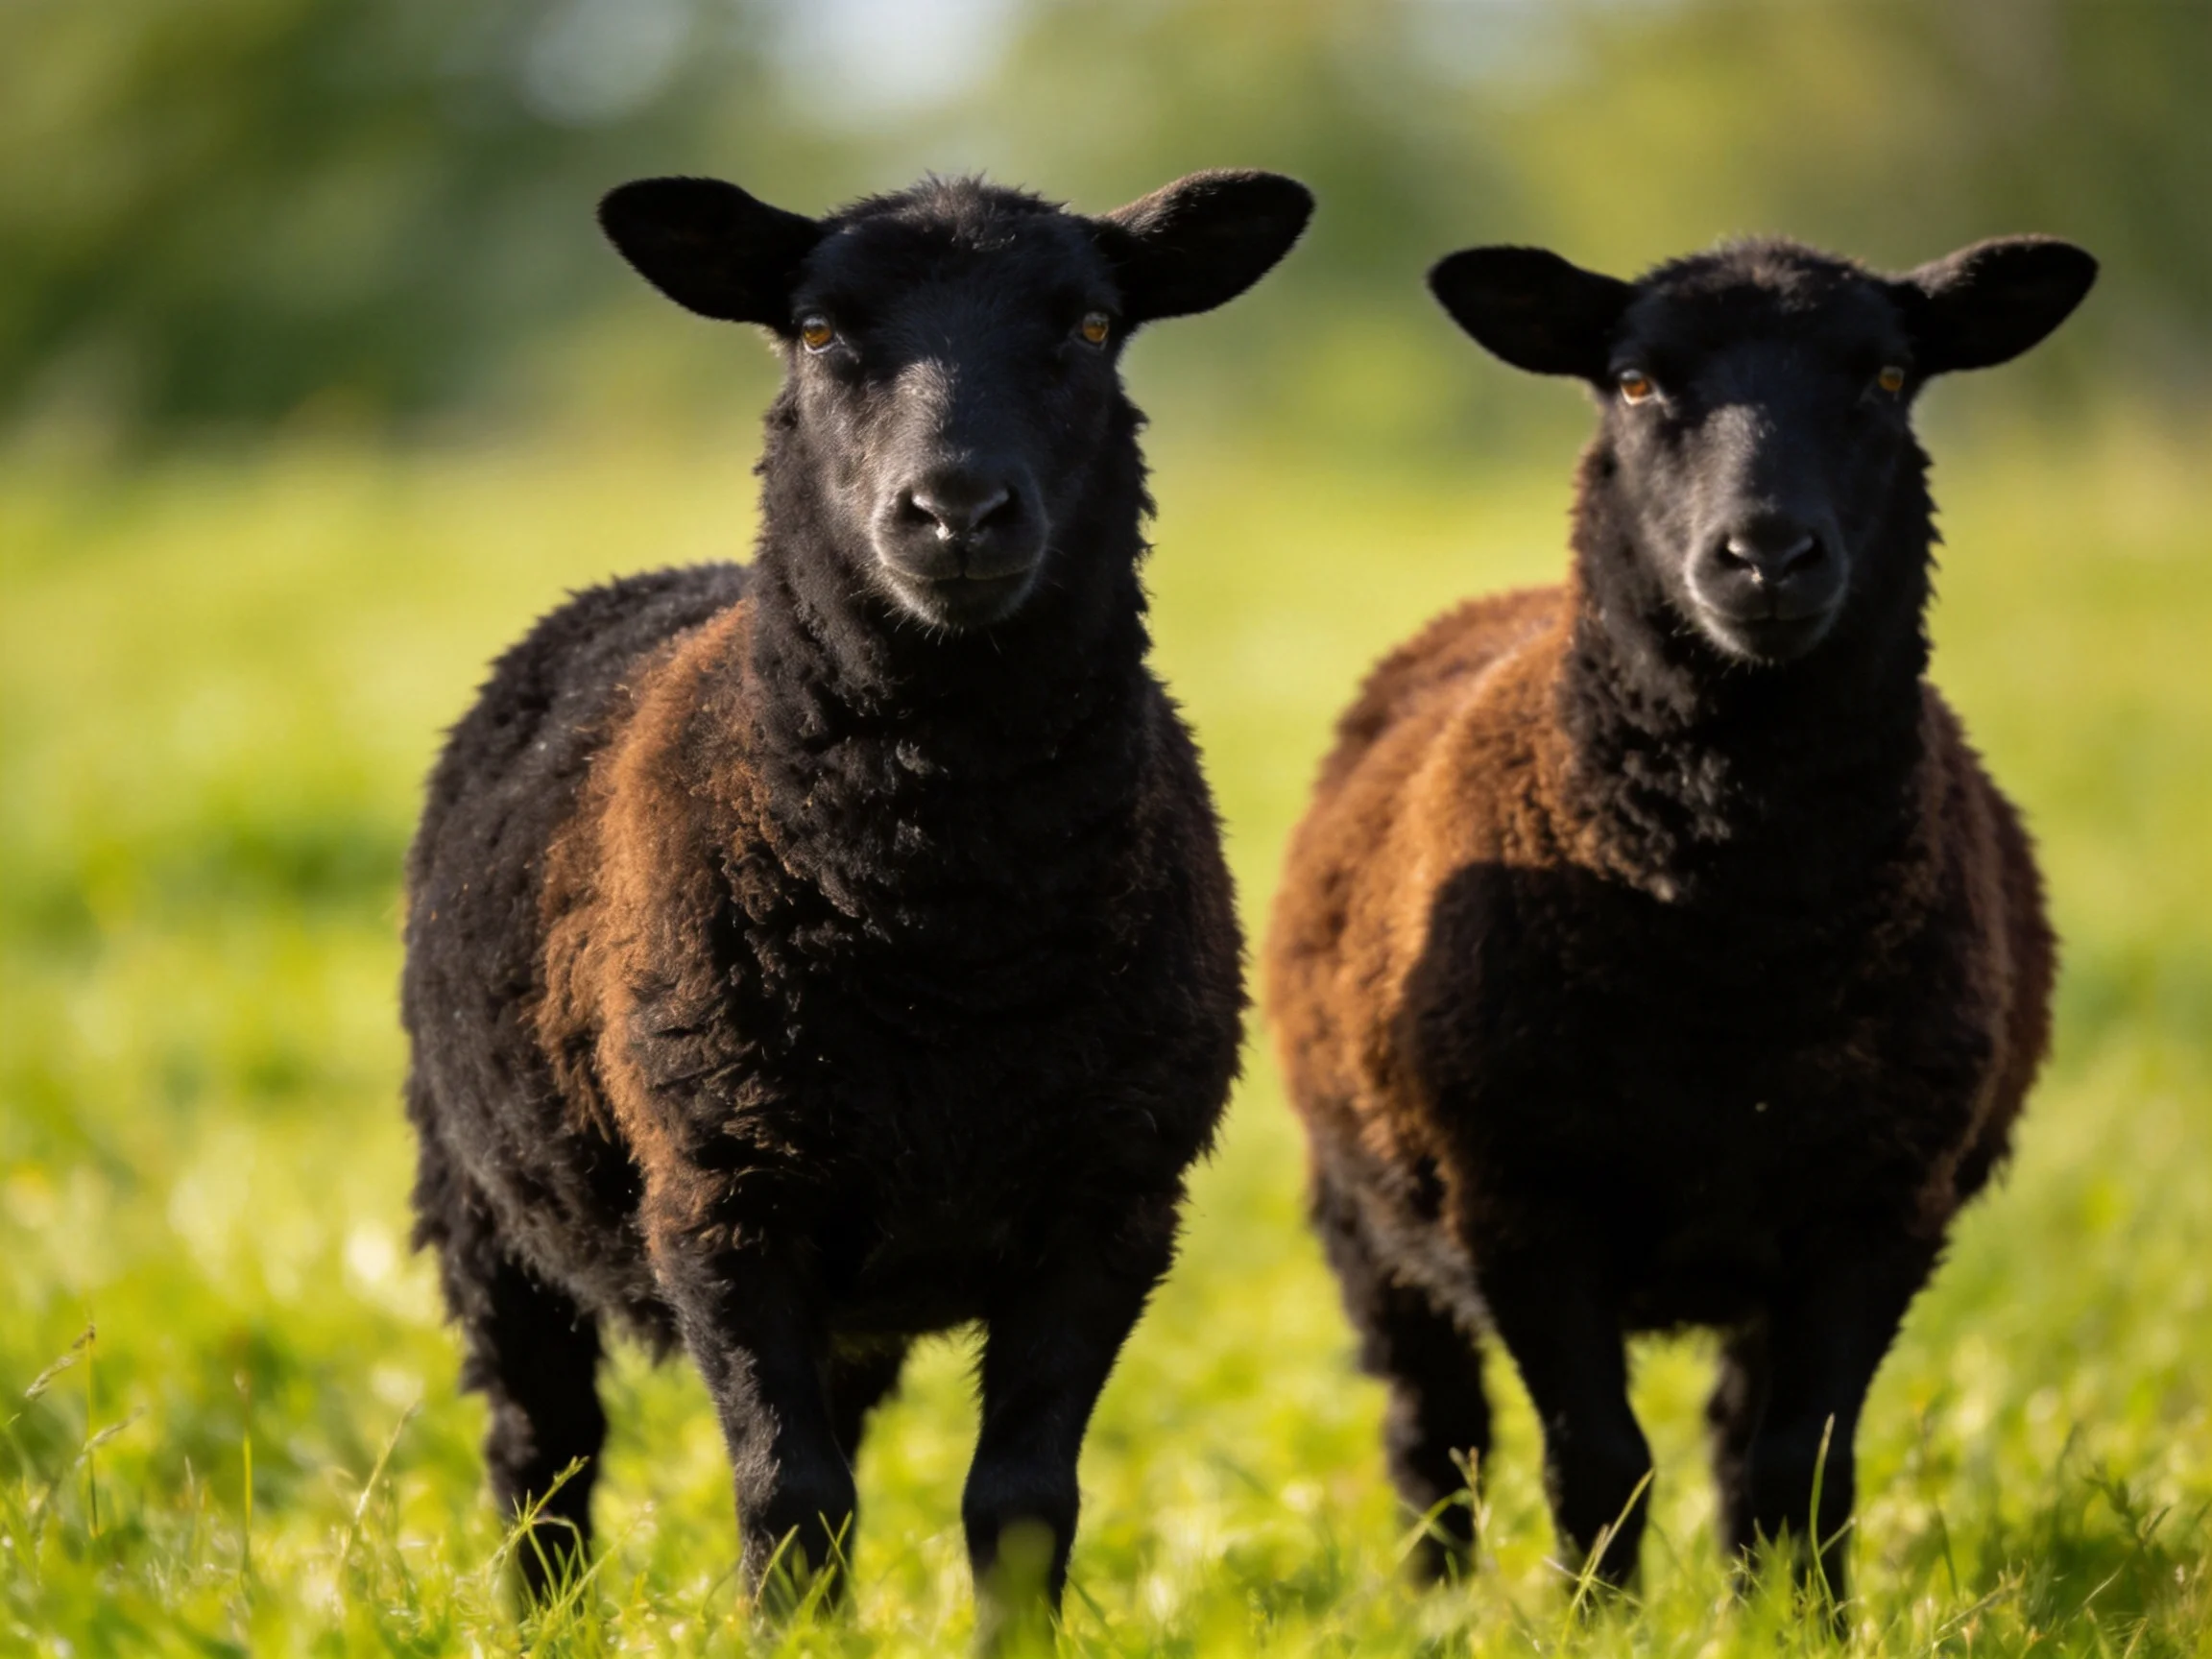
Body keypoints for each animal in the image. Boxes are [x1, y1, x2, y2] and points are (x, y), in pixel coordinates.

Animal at [401, 168, 1312, 1615]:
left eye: (1092, 326)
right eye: (820, 331)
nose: (957, 512)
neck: (943, 924)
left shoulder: (1111, 1206)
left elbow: (1019, 1506)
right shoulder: (722, 1196)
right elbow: (793, 1501)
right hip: (481, 1198)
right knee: (539, 1446)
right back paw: (541, 1615)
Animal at [1265, 234, 2095, 1609]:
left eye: (1885, 376)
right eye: (1638, 381)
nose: (1766, 557)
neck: (1730, 938)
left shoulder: (1881, 1203)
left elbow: (1800, 1458)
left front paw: (1802, 1623)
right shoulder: (1518, 1196)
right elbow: (1597, 1457)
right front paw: (1596, 1619)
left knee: (1730, 1431)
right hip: (1359, 1202)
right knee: (1431, 1431)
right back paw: (1438, 1603)